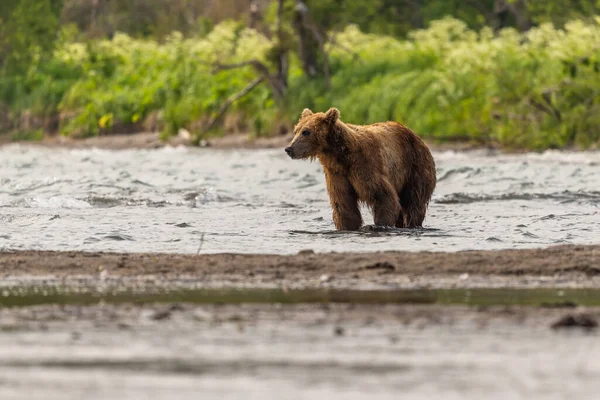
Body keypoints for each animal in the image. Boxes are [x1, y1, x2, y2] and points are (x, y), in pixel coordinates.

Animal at [286, 108, 436, 230]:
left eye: (306, 131)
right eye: (296, 130)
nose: (289, 148)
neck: (340, 156)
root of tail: (416, 136)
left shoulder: (365, 166)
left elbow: (383, 196)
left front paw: (379, 225)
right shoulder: (336, 174)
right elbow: (343, 203)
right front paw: (347, 226)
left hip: (414, 166)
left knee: (414, 202)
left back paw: (412, 223)